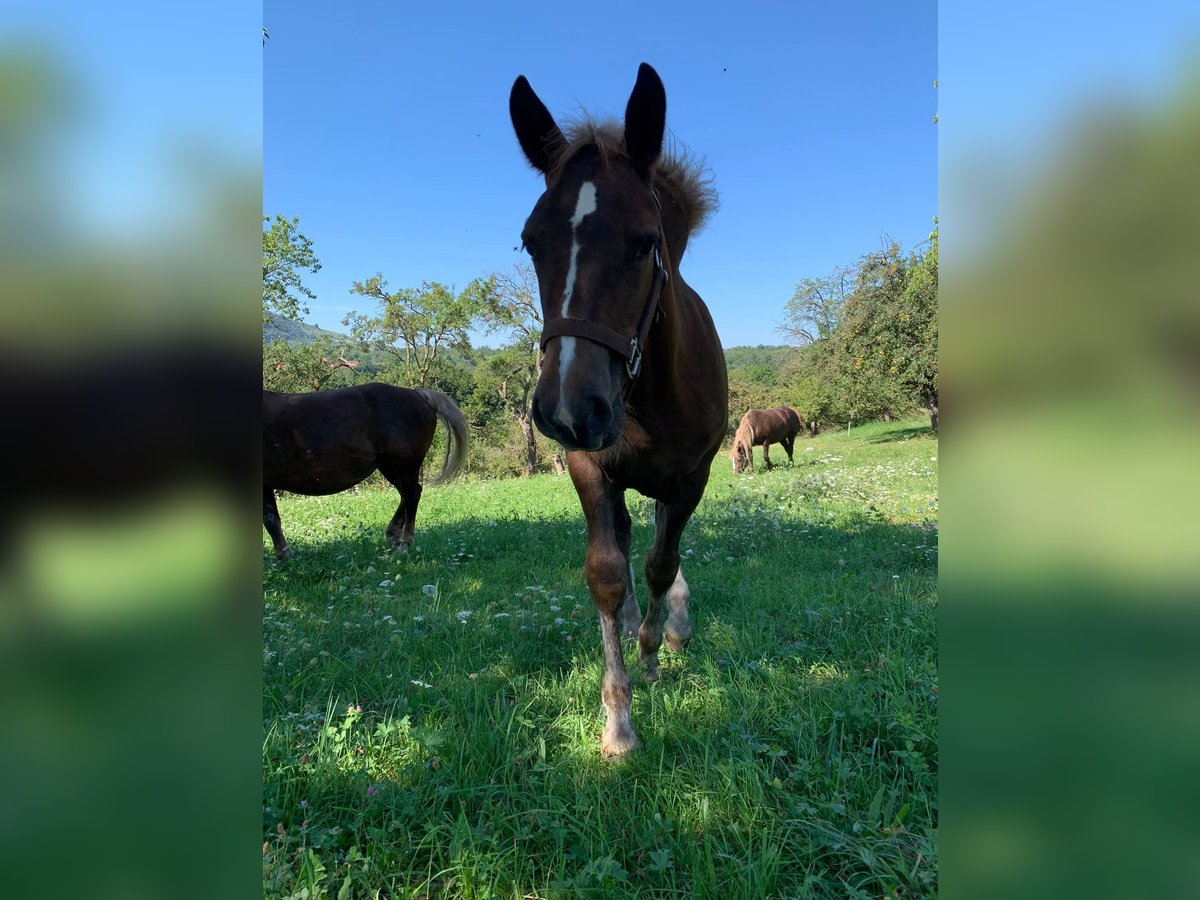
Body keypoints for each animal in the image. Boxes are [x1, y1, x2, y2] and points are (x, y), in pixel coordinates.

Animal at [263, 383, 468, 560]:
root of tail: (417, 394)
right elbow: (271, 518)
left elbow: (270, 520)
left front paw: (284, 555)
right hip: (388, 465)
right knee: (408, 494)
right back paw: (393, 535)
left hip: (405, 464)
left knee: (411, 495)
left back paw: (403, 545)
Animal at [510, 63, 727, 755]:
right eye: (531, 243)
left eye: (644, 243)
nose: (568, 410)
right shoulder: (589, 468)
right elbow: (608, 572)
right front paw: (618, 719)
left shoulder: (690, 480)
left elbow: (662, 563)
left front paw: (654, 652)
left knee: (660, 545)